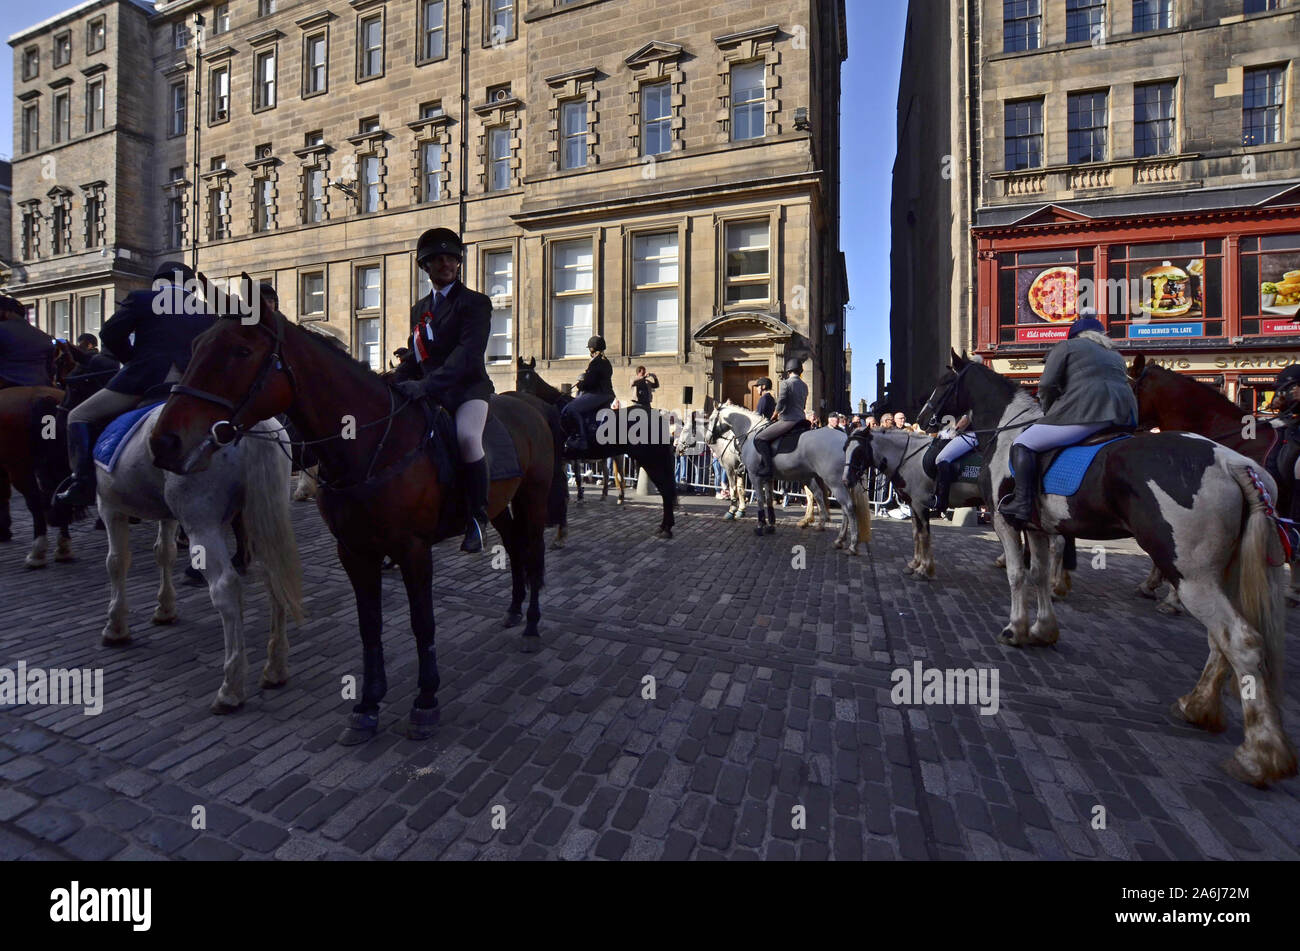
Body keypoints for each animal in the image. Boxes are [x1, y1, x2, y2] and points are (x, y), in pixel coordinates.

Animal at [96, 407, 301, 711]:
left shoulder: (110, 507)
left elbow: (116, 562)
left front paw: (116, 626)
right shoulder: (168, 514)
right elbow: (164, 553)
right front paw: (165, 608)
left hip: (202, 524)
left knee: (226, 590)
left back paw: (231, 687)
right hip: (261, 518)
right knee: (275, 581)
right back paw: (275, 668)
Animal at [150, 294, 559, 743]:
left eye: (240, 351)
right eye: (196, 347)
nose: (164, 442)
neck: (369, 444)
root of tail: (530, 406)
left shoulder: (413, 551)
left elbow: (423, 623)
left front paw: (425, 700)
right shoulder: (354, 551)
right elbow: (370, 625)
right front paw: (368, 704)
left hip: (534, 500)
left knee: (533, 554)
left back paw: (531, 625)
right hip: (501, 506)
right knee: (516, 552)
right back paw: (514, 609)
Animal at [717, 402, 868, 553]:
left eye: (713, 418)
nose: (711, 439)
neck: (751, 433)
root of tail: (846, 440)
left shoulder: (755, 476)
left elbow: (760, 500)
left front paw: (760, 525)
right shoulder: (769, 478)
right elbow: (769, 500)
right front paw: (770, 525)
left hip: (835, 482)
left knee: (848, 506)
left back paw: (851, 544)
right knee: (835, 503)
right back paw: (836, 536)